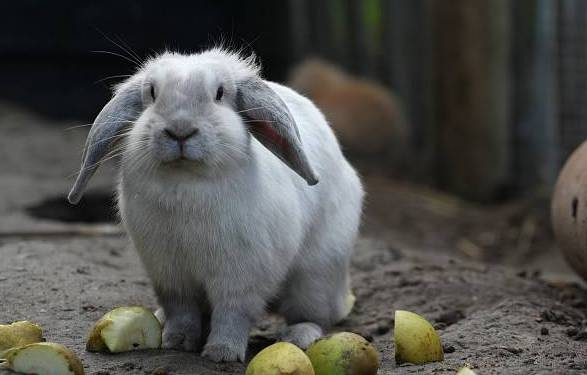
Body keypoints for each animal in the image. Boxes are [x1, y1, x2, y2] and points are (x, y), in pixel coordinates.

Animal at [68, 48, 362, 362]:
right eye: (152, 92)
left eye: (220, 94)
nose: (180, 130)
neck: (185, 181)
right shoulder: (170, 275)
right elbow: (182, 310)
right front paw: (177, 341)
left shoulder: (241, 277)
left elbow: (233, 314)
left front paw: (222, 353)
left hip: (315, 276)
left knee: (315, 316)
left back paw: (299, 335)